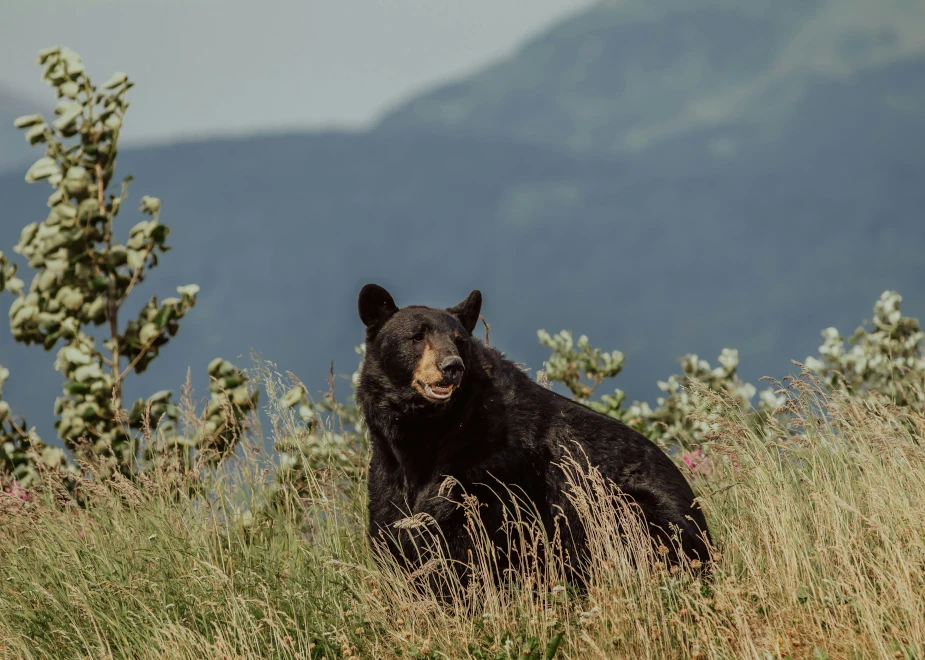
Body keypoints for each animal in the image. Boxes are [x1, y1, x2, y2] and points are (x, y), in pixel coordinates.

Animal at [358, 284, 712, 592]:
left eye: (459, 341)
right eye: (417, 337)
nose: (452, 366)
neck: (428, 431)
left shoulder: (493, 465)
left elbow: (473, 536)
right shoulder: (388, 468)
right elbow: (393, 528)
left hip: (631, 509)